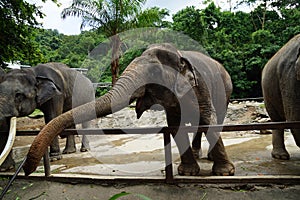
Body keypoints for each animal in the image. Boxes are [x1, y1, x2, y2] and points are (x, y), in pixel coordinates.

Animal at [23, 43, 234, 177]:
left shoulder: (201, 86)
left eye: (154, 73)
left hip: (226, 91)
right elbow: (175, 126)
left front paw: (225, 173)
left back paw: (208, 157)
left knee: (216, 118)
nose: (26, 170)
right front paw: (187, 173)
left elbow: (208, 118)